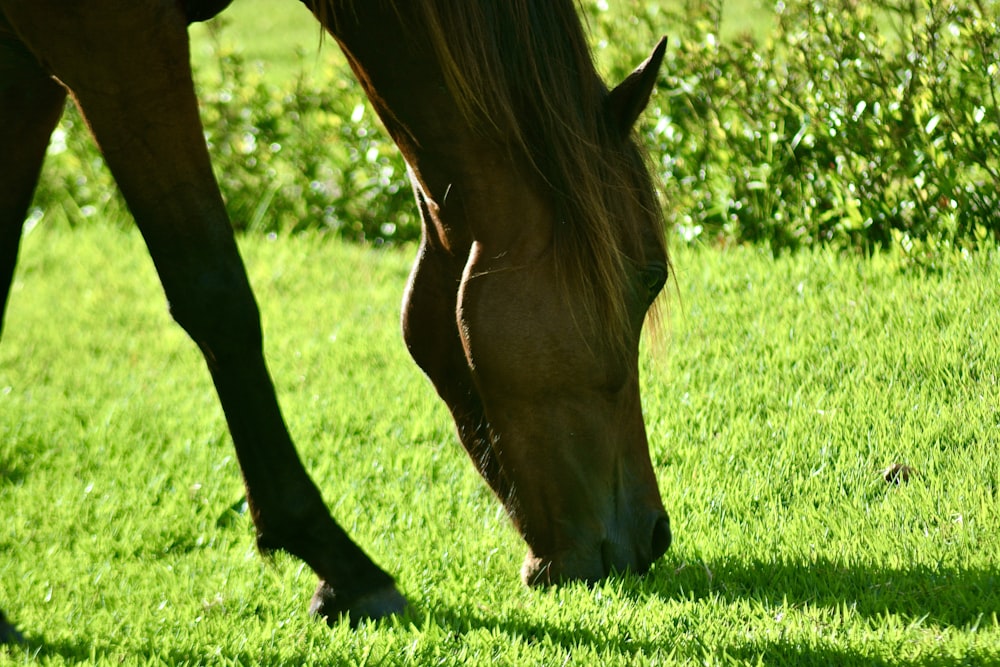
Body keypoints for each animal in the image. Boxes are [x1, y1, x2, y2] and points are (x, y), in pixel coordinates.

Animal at [1, 0, 672, 636]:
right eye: (651, 277)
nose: (657, 536)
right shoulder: (114, 36)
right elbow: (216, 293)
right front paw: (343, 569)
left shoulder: (27, 62)